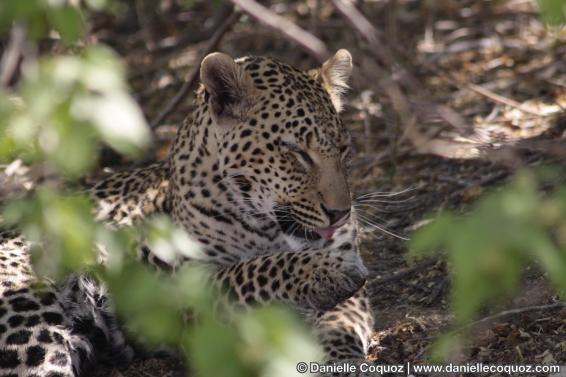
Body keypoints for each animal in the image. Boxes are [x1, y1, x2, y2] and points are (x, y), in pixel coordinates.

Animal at [0, 49, 378, 374]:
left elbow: (340, 324)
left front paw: (343, 360)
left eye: (343, 149)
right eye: (296, 151)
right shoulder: (175, 294)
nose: (340, 213)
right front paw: (323, 270)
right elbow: (250, 270)